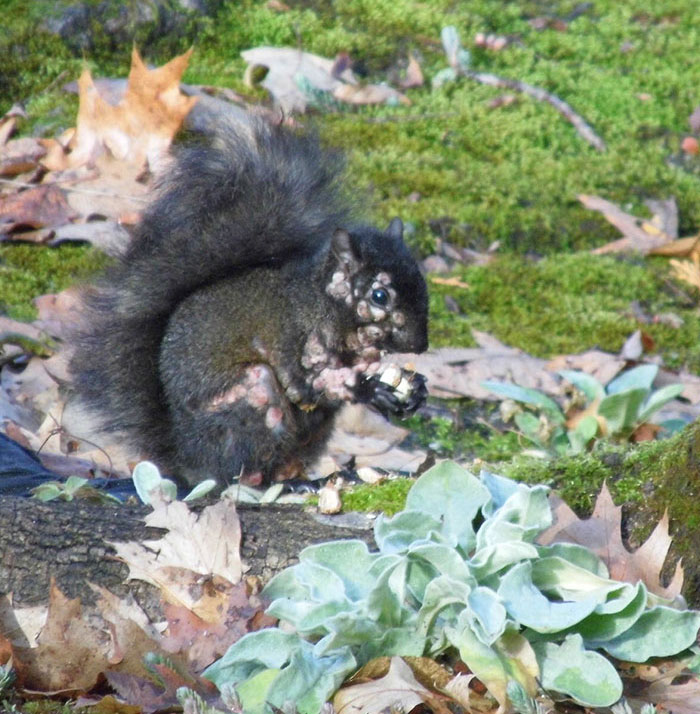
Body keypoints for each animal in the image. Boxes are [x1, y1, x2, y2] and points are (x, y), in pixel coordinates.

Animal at [69, 117, 429, 487]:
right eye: (379, 296)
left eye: (422, 281)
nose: (420, 344)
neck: (323, 306)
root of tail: (187, 459)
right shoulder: (292, 338)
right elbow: (310, 387)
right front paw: (370, 389)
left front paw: (414, 390)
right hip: (253, 397)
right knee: (242, 470)